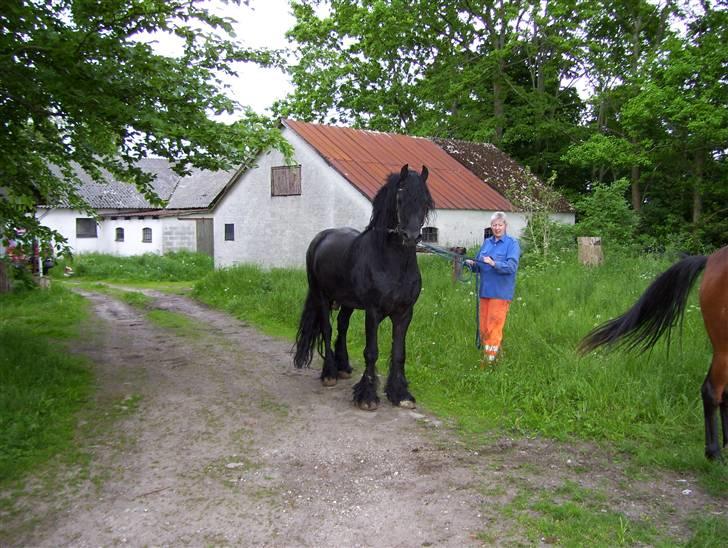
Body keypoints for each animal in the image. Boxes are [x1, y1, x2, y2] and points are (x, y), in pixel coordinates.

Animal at [294, 165, 436, 408]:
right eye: (399, 198)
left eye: (425, 201)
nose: (411, 236)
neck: (391, 263)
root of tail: (320, 238)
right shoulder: (373, 312)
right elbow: (371, 352)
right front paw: (367, 396)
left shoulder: (404, 313)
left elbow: (399, 353)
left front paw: (400, 394)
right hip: (321, 296)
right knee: (327, 328)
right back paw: (330, 373)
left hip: (347, 302)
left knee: (342, 326)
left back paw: (343, 367)